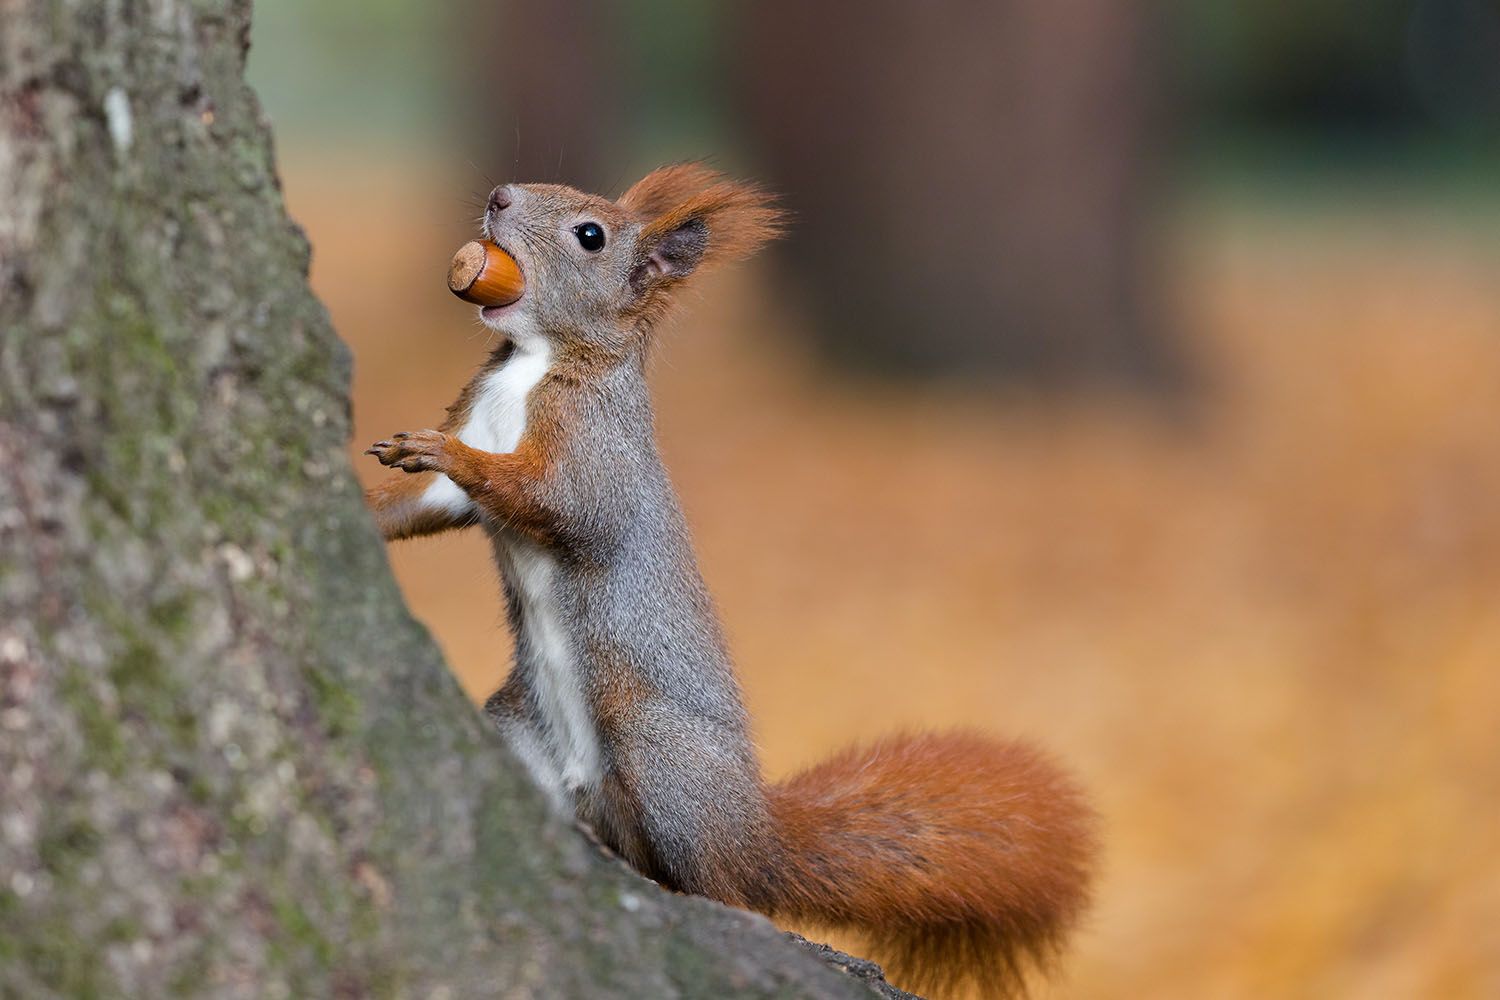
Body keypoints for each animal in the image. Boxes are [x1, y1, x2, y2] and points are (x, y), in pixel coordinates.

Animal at [364, 164, 1097, 998]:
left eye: (591, 236)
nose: (500, 197)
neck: (530, 363)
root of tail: (754, 838)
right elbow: (426, 506)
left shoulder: (595, 453)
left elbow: (556, 503)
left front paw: (440, 450)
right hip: (519, 731)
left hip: (658, 749)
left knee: (723, 886)